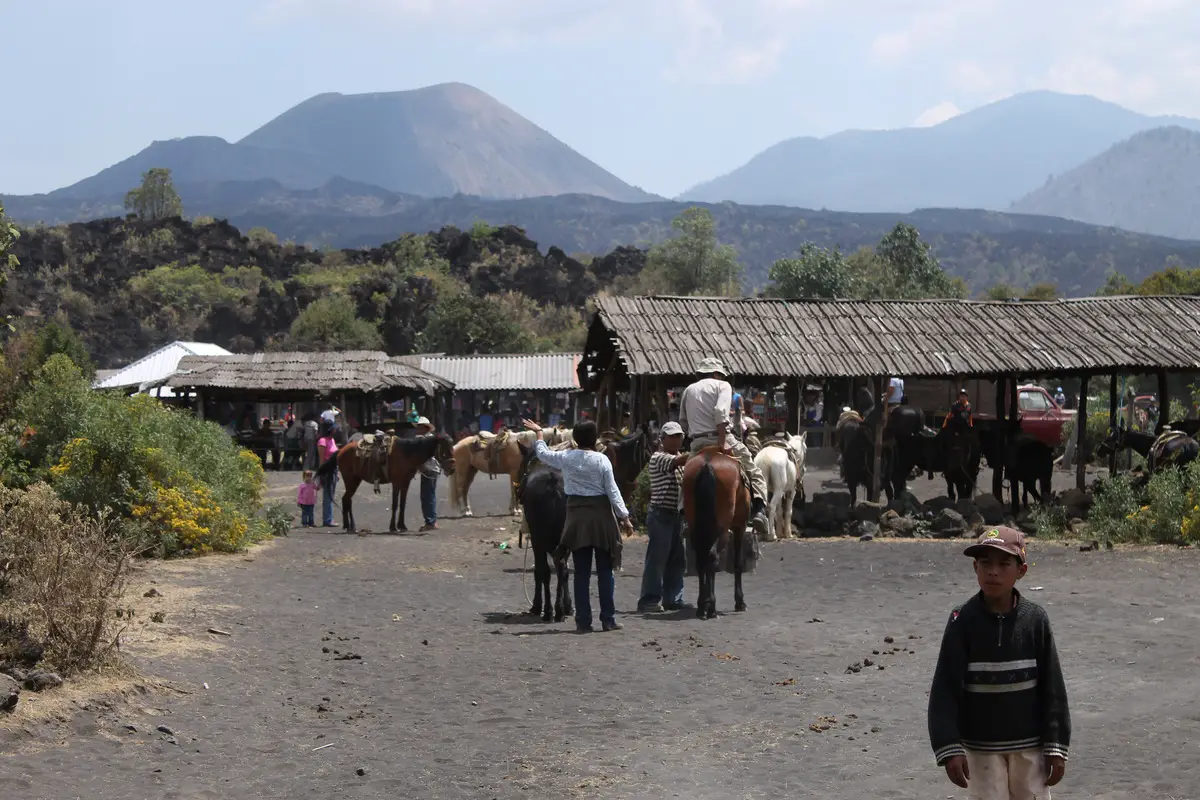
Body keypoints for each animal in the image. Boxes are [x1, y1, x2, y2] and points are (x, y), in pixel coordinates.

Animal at [314, 434, 453, 534]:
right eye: (445, 450)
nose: (452, 469)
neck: (407, 454)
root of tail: (341, 450)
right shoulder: (396, 482)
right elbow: (395, 504)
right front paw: (393, 527)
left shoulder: (405, 483)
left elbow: (403, 504)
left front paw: (402, 526)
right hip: (350, 480)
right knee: (346, 500)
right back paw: (349, 527)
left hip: (355, 480)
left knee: (347, 500)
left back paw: (351, 526)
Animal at [513, 441, 573, 623]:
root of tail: (552, 483)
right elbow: (563, 570)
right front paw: (568, 606)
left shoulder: (536, 540)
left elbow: (539, 571)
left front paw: (537, 605)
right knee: (562, 569)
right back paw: (560, 610)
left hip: (539, 539)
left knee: (545, 571)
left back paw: (548, 611)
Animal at [681, 448, 744, 623]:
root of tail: (707, 464)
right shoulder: (740, 526)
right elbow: (737, 564)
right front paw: (740, 602)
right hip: (721, 530)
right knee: (712, 557)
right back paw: (711, 608)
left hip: (695, 527)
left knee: (701, 560)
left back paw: (702, 606)